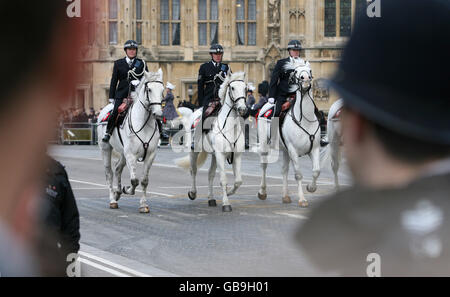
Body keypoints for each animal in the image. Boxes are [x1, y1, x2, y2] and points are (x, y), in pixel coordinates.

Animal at [97, 69, 164, 213]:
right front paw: (127, 189)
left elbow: (143, 181)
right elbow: (134, 180)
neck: (144, 122)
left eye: (162, 90)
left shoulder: (150, 155)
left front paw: (143, 205)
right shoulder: (131, 154)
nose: (158, 114)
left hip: (122, 152)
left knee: (117, 169)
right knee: (109, 173)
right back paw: (112, 200)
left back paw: (117, 193)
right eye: (149, 89)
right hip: (106, 148)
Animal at [174, 71, 248, 210]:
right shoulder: (220, 154)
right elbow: (223, 179)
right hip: (194, 152)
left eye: (245, 88)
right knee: (193, 170)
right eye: (232, 88)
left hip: (214, 156)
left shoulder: (236, 155)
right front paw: (226, 204)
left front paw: (229, 193)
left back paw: (211, 199)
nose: (243, 109)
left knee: (210, 174)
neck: (229, 126)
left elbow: (238, 181)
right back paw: (193, 193)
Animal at [256, 61, 320, 207]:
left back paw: (285, 196)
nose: (305, 80)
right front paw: (302, 199)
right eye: (295, 71)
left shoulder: (314, 149)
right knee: (263, 165)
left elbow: (316, 171)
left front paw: (311, 188)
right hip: (265, 145)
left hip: (285, 150)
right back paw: (262, 191)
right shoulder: (293, 150)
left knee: (284, 169)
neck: (305, 120)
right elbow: (298, 174)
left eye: (310, 70)